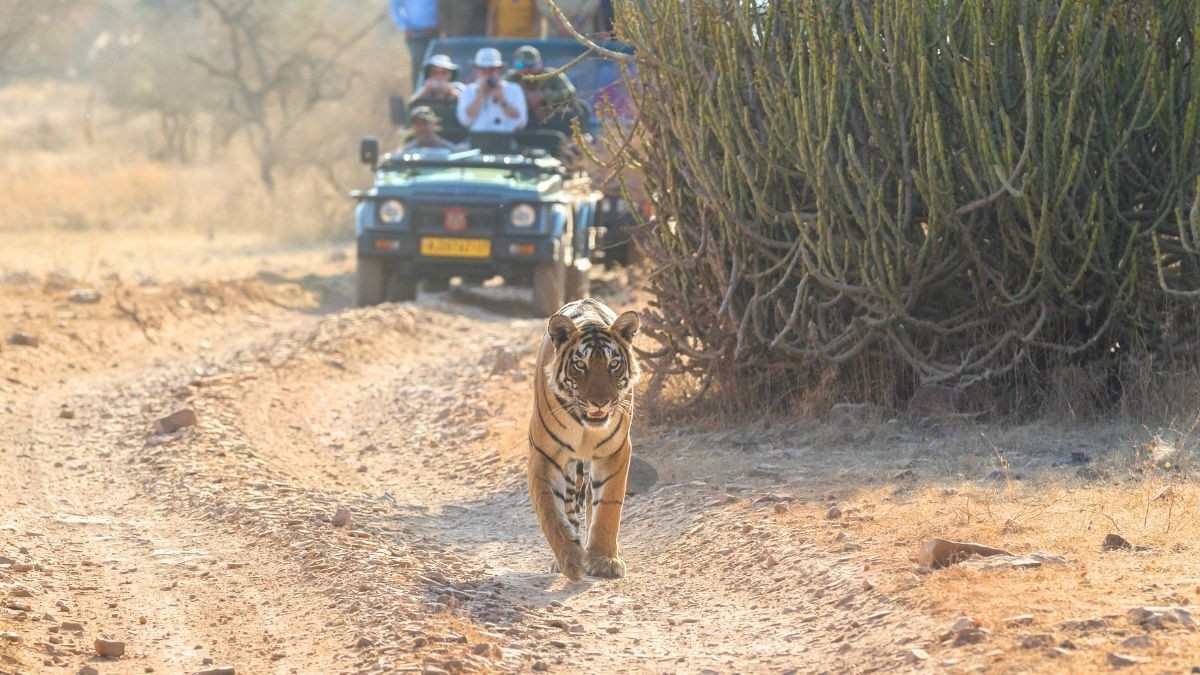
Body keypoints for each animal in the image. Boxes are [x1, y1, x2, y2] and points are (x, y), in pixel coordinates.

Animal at [528, 298, 641, 580]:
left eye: (613, 364)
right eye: (581, 365)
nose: (600, 402)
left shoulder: (615, 452)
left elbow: (608, 508)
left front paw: (603, 560)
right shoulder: (545, 456)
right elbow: (551, 512)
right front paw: (570, 559)